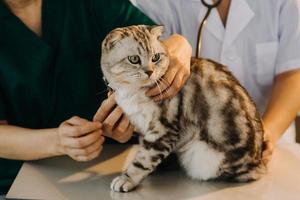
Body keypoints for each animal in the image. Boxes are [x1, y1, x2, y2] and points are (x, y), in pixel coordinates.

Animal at [100, 24, 264, 192]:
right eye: (134, 59)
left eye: (155, 57)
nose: (150, 71)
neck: (132, 93)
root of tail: (258, 162)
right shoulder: (145, 128)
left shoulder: (163, 128)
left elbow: (144, 159)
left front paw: (127, 179)